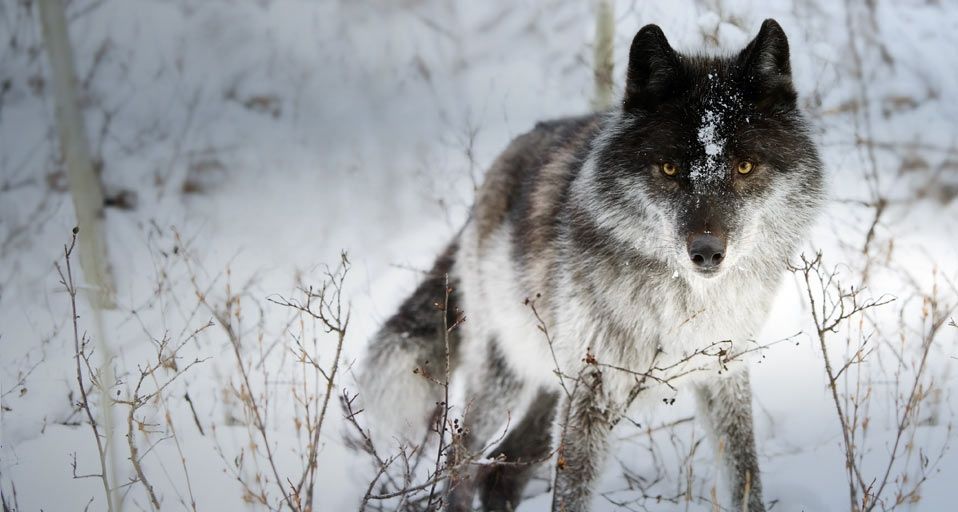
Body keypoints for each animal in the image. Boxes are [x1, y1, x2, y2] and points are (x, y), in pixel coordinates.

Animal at [359, 19, 823, 512]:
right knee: (461, 458)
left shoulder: (724, 375)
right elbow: (570, 493)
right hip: (504, 373)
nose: (706, 252)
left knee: (503, 468)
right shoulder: (593, 392)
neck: (681, 301)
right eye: (669, 169)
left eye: (745, 166)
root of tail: (496, 170)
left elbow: (746, 477)